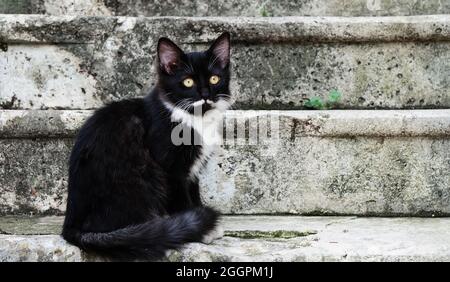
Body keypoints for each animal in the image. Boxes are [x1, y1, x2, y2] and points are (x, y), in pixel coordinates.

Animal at [62, 32, 232, 260]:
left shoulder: (193, 170)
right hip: (142, 176)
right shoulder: (171, 169)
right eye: (187, 82)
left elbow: (194, 194)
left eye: (215, 79)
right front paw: (199, 229)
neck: (194, 120)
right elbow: (182, 200)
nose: (205, 95)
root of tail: (71, 226)